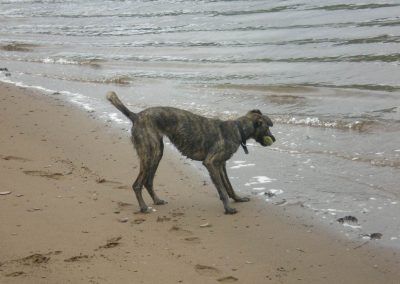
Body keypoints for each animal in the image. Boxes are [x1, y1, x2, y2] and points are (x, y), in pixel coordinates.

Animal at [106, 91, 276, 213]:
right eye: (267, 127)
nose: (274, 139)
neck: (238, 129)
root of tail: (136, 116)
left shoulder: (221, 165)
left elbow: (229, 186)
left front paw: (238, 199)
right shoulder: (211, 163)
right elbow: (222, 189)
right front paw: (228, 208)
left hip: (157, 153)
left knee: (148, 181)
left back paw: (157, 201)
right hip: (150, 154)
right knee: (137, 184)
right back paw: (143, 208)